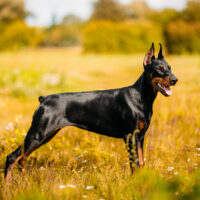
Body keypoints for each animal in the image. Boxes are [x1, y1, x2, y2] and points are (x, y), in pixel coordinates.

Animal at [3, 43, 177, 180]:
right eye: (159, 68)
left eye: (170, 67)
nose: (175, 80)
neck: (141, 96)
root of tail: (44, 99)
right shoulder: (130, 136)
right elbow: (134, 163)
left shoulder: (140, 136)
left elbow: (141, 162)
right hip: (39, 133)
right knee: (12, 157)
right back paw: (7, 186)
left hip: (47, 134)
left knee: (22, 159)